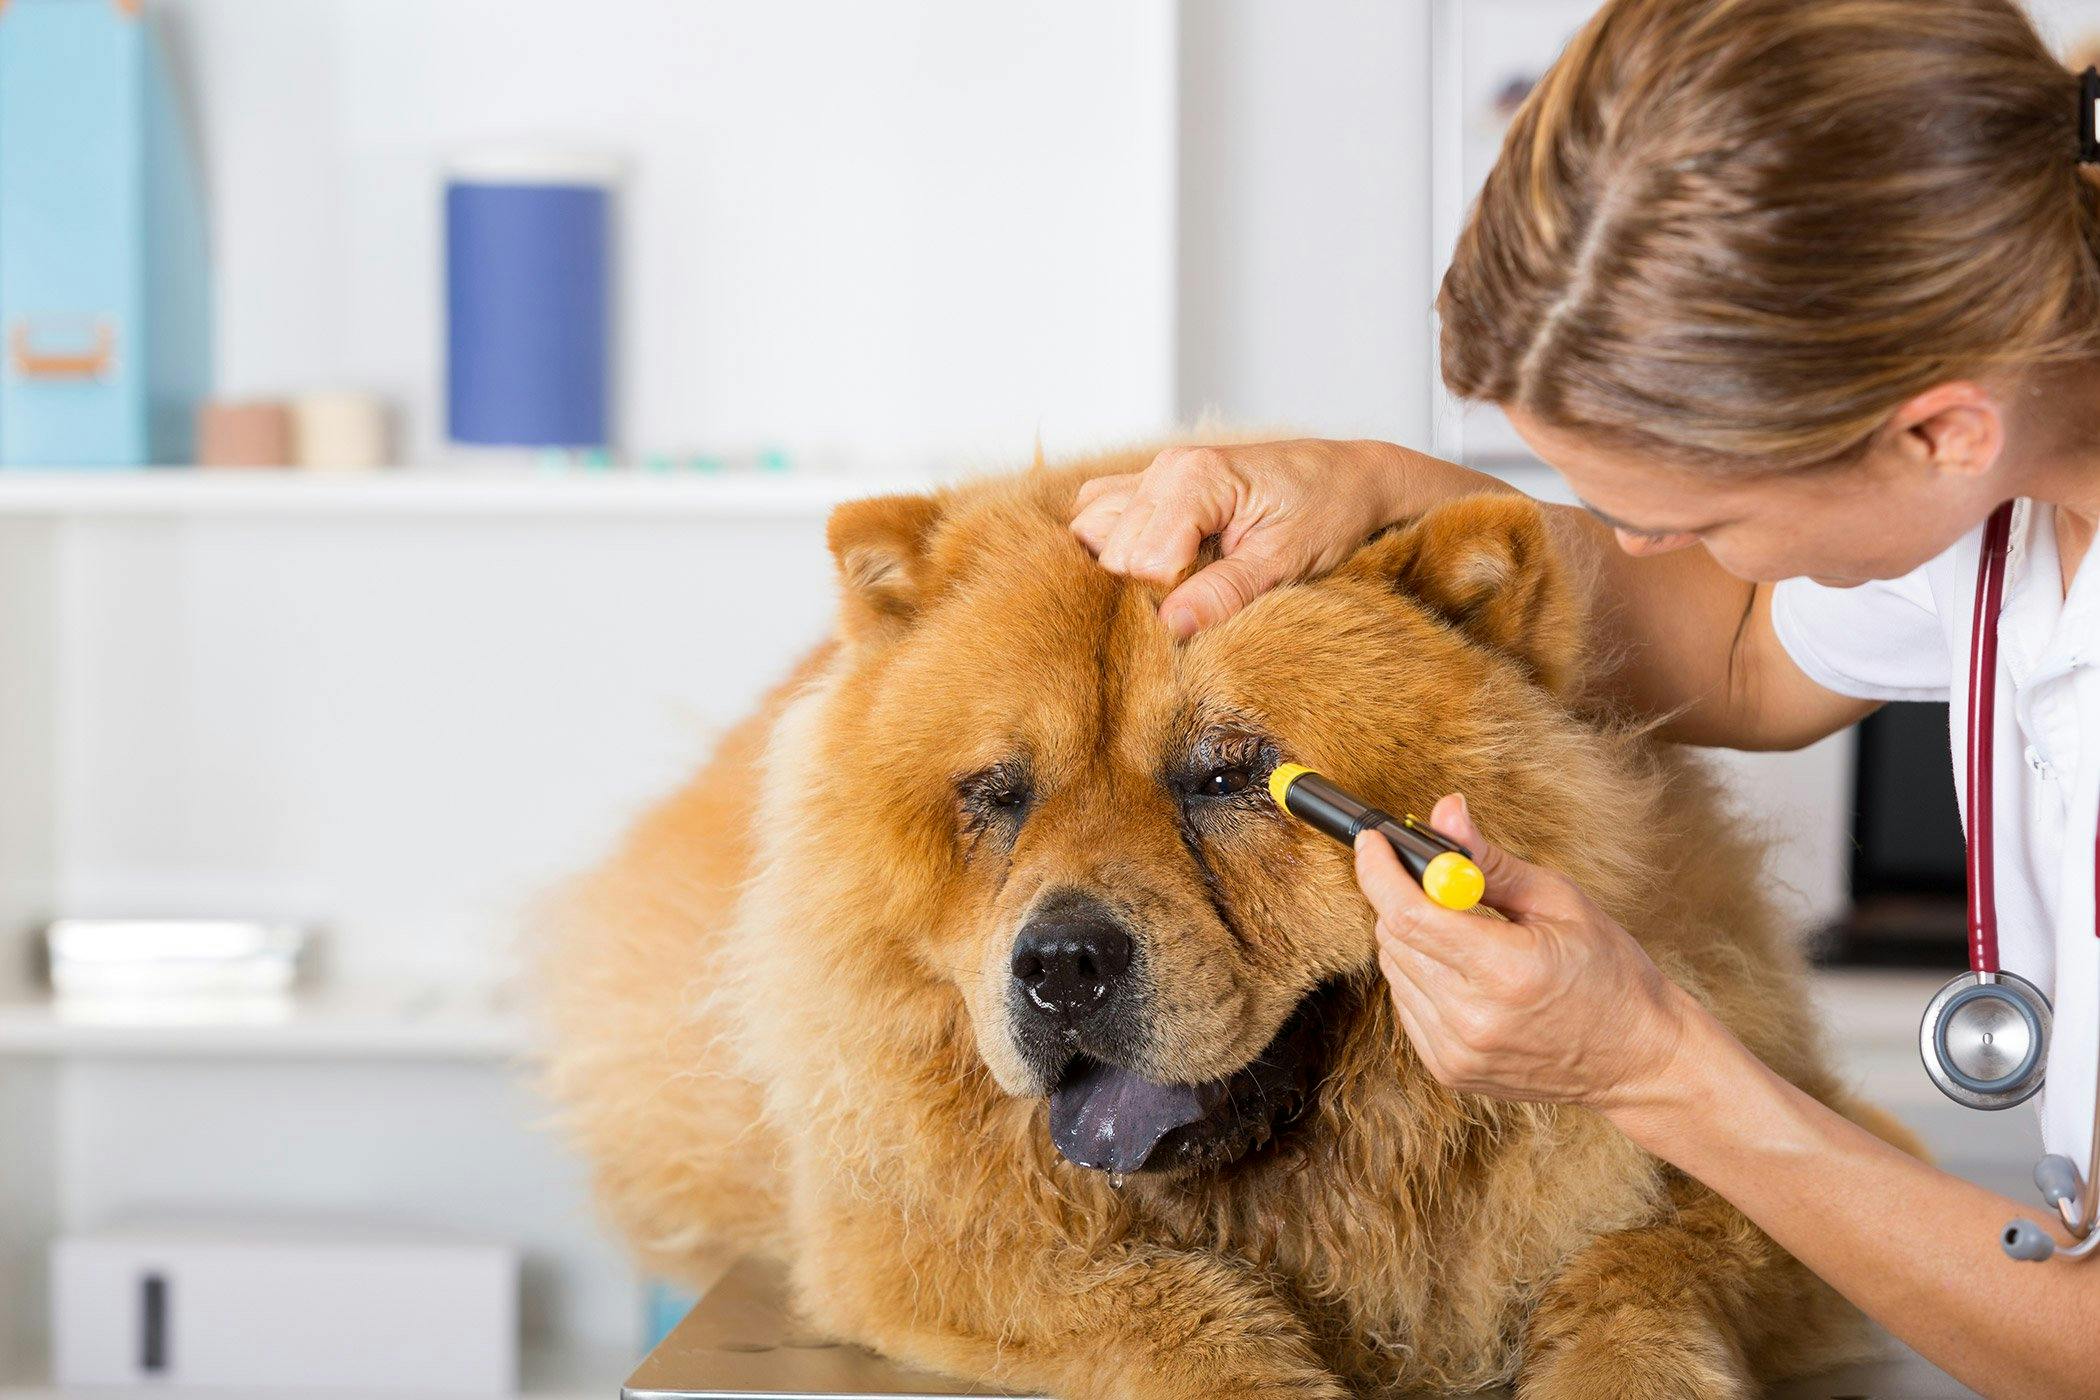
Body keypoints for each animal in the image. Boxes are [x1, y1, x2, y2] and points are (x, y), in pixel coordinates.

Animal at [537, 451, 1906, 1400]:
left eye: (1230, 776)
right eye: (999, 793)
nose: (1062, 961)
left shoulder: (1774, 1145)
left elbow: (1643, 1269)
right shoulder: (917, 1230)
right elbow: (1156, 1295)